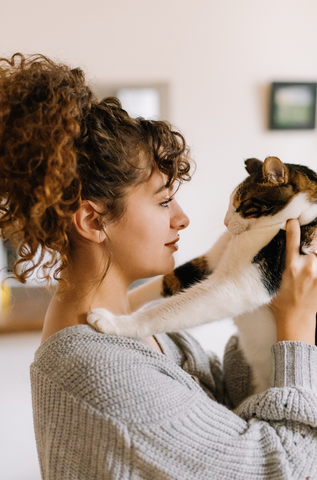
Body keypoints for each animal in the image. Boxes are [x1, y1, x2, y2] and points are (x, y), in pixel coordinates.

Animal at [87, 158, 316, 394]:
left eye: (242, 204)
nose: (226, 223)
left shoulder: (246, 280)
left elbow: (172, 309)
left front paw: (114, 322)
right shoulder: (212, 260)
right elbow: (170, 279)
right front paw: (126, 301)